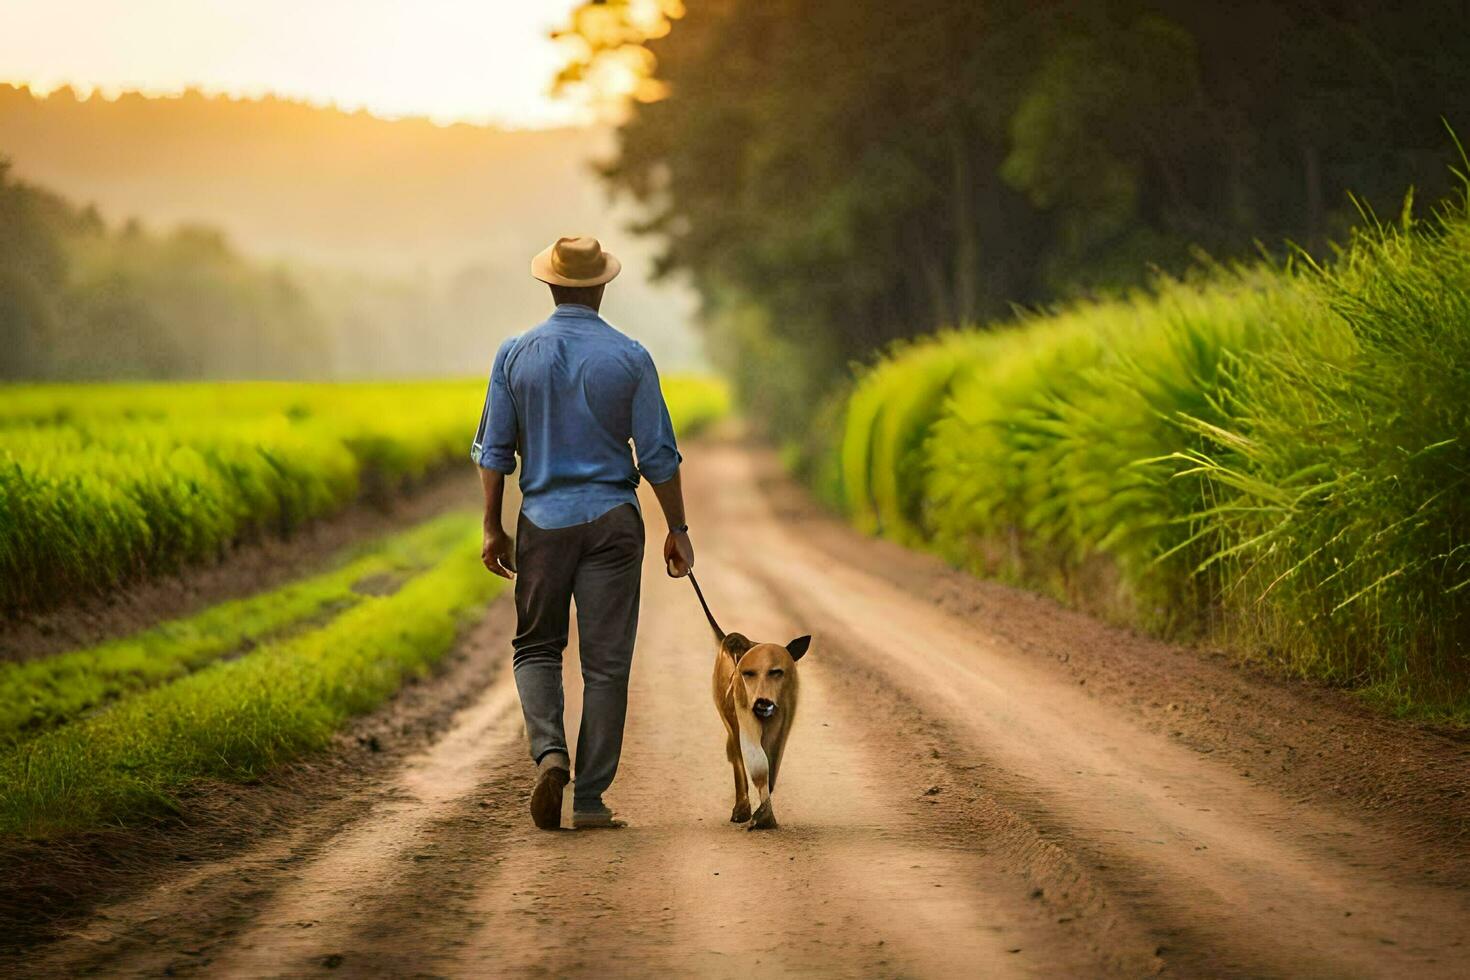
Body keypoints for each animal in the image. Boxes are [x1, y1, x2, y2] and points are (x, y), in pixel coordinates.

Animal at [685, 570, 805, 834]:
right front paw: (759, 816)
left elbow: (771, 767)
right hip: (729, 720)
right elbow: (757, 764)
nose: (762, 701)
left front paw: (764, 815)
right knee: (736, 755)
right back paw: (741, 809)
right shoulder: (742, 721)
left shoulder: (783, 724)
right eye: (748, 673)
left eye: (777, 672)